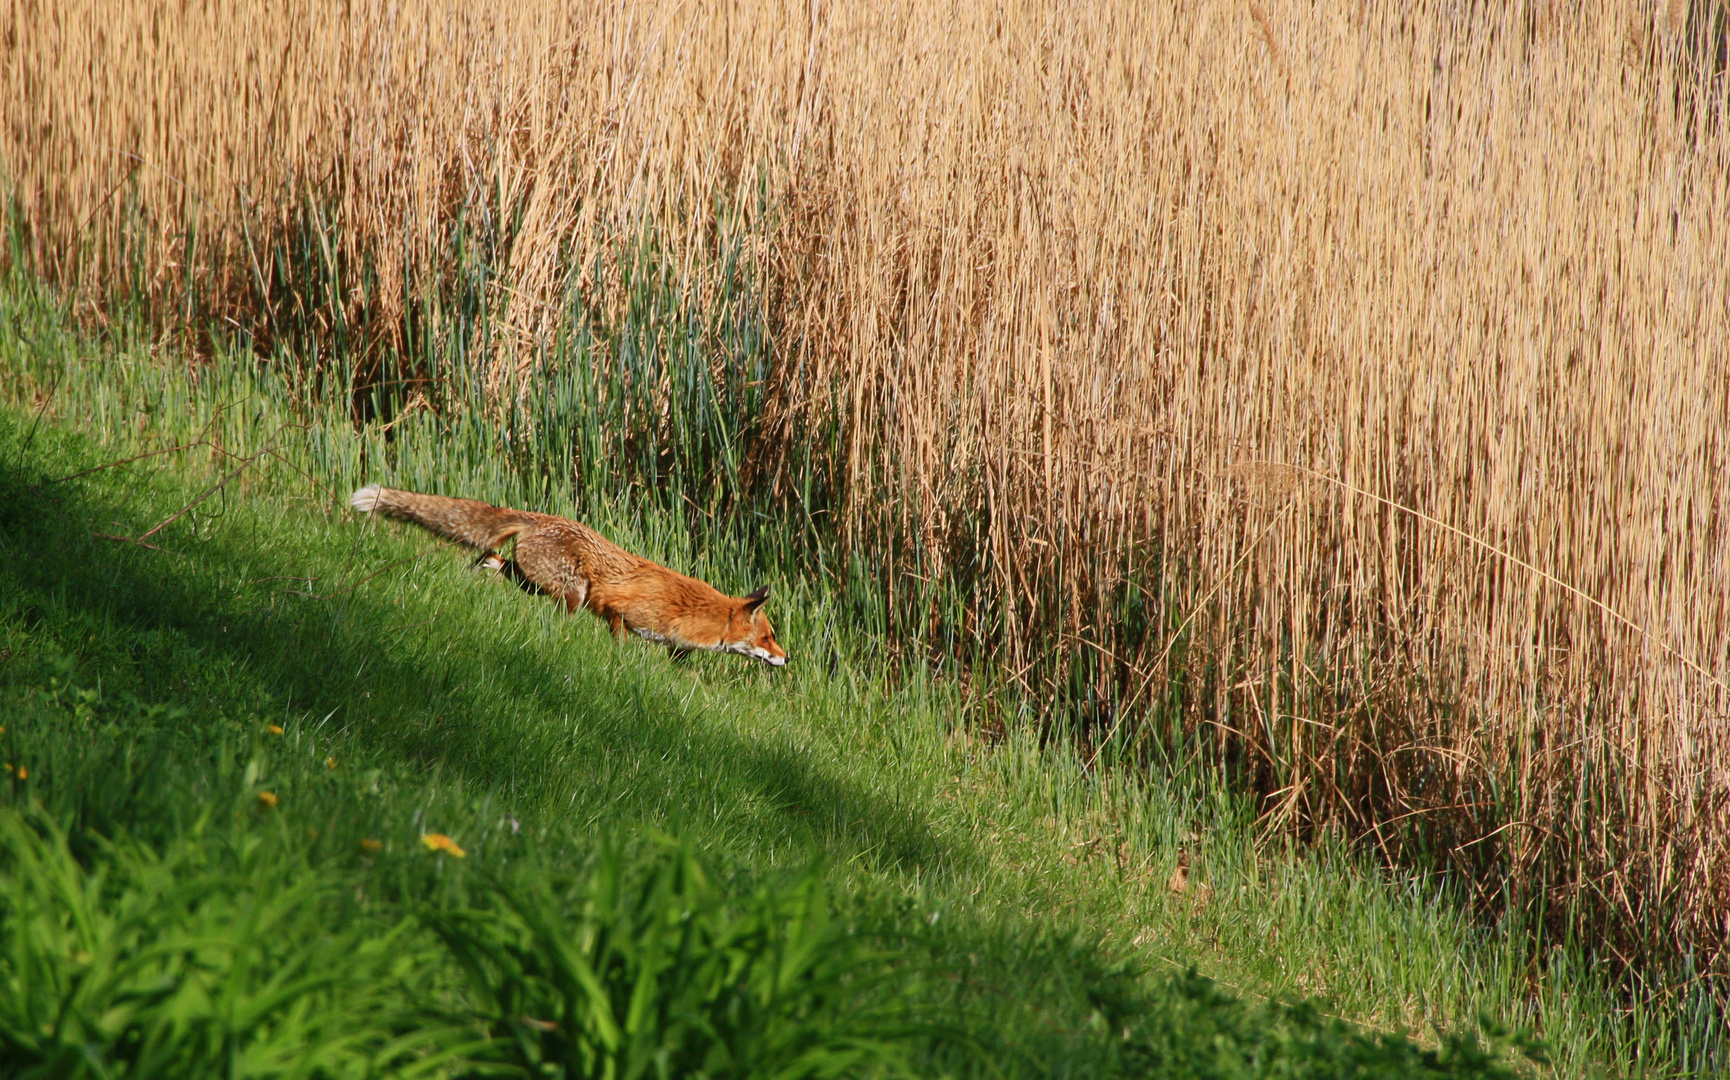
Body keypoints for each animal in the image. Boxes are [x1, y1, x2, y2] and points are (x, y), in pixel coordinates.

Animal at [351, 484, 792, 668]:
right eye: (768, 637)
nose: (788, 657)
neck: (697, 610)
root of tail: (543, 517)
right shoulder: (619, 612)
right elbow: (620, 646)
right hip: (572, 594)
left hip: (530, 580)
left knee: (490, 557)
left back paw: (470, 577)